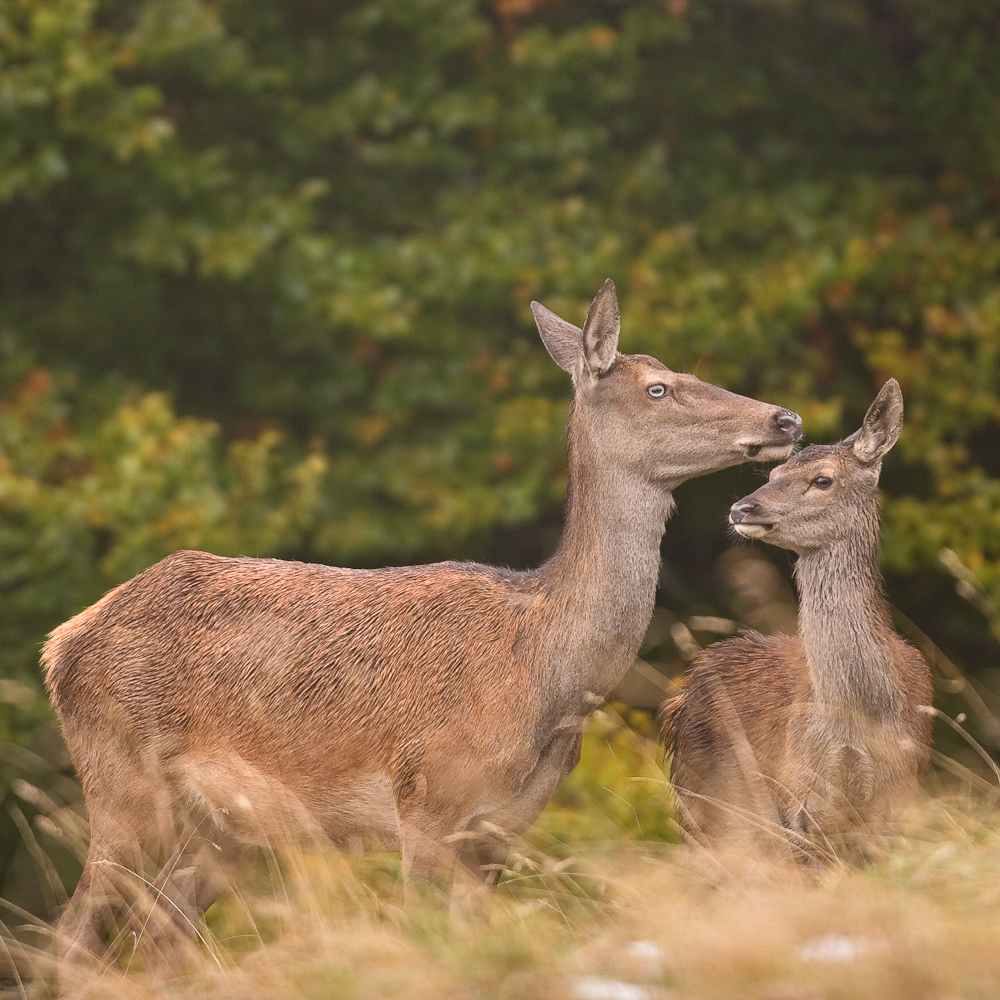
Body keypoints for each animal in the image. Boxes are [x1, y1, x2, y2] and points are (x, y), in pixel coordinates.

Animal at [45, 280, 804, 976]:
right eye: (658, 388)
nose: (786, 418)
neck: (545, 669)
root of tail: (63, 642)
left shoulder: (499, 831)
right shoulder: (428, 803)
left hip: (223, 831)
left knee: (159, 939)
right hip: (120, 783)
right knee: (73, 934)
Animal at [660, 378, 932, 864]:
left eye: (822, 479)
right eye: (772, 476)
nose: (741, 509)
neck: (859, 715)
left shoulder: (897, 797)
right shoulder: (801, 800)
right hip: (704, 800)